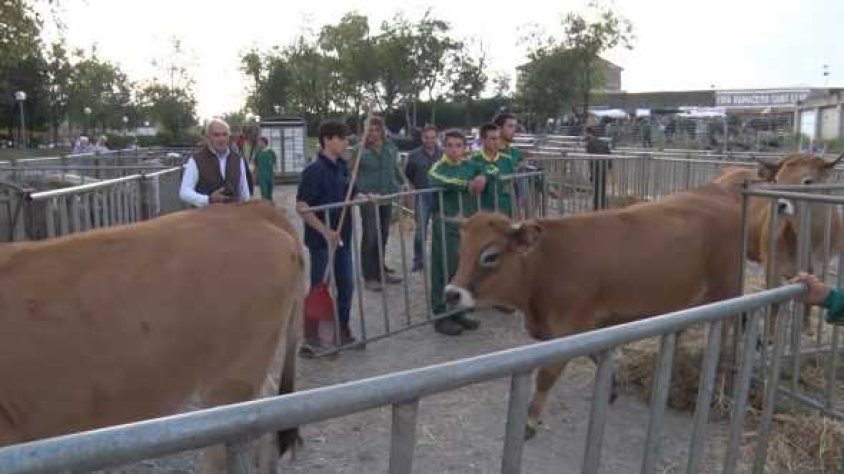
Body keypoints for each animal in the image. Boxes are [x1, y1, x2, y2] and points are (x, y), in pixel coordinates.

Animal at [443, 181, 745, 439]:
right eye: (461, 250)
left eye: (490, 256)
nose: (450, 294)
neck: (546, 265)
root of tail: (716, 192)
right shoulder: (588, 328)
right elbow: (598, 356)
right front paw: (611, 387)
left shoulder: (568, 328)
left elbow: (546, 376)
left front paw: (529, 420)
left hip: (725, 289)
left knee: (728, 325)